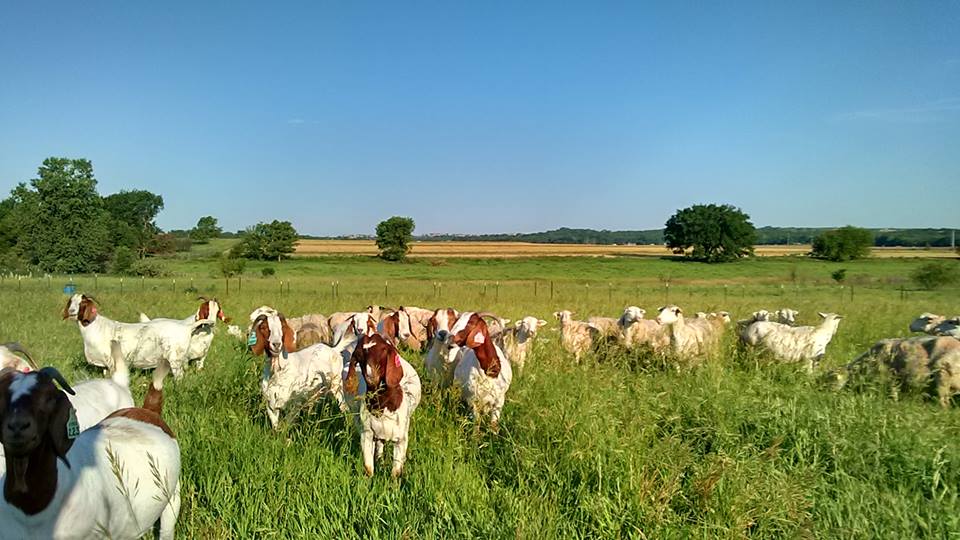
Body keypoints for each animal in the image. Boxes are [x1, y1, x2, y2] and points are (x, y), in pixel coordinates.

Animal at [63, 294, 210, 382]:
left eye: (82, 303)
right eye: (71, 301)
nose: (71, 312)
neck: (95, 327)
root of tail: (187, 328)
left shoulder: (111, 361)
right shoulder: (104, 364)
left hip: (175, 358)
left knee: (179, 376)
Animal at [828, 336, 960, 408]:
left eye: (833, 379)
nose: (827, 395)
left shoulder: (890, 379)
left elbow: (893, 395)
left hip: (943, 376)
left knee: (943, 402)